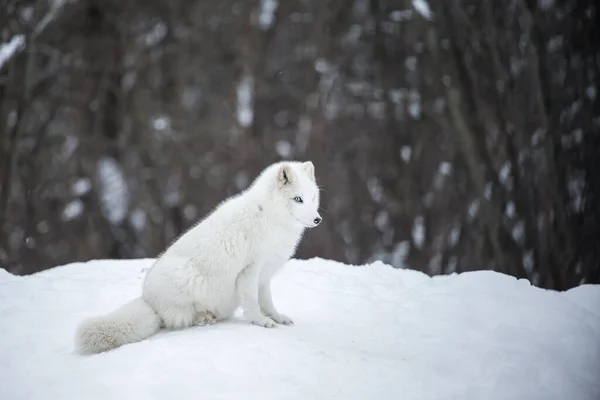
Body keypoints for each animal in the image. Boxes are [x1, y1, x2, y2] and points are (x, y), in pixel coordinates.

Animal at [76, 159, 324, 354]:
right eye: (298, 199)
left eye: (313, 198)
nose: (317, 220)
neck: (270, 217)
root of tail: (148, 301)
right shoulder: (250, 271)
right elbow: (253, 303)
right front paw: (261, 322)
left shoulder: (264, 276)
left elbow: (268, 302)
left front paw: (277, 317)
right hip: (187, 279)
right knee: (177, 320)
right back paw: (203, 318)